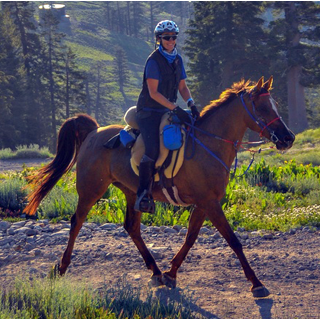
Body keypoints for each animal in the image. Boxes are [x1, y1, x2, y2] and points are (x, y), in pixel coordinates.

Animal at [24, 76, 296, 298]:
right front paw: (256, 283)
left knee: (132, 228)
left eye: (275, 105)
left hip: (132, 192)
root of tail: (94, 131)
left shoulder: (203, 203)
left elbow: (190, 238)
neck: (209, 143)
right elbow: (233, 241)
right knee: (76, 222)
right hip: (91, 190)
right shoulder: (210, 203)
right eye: (262, 107)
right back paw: (62, 268)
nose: (288, 138)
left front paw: (170, 273)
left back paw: (155, 271)